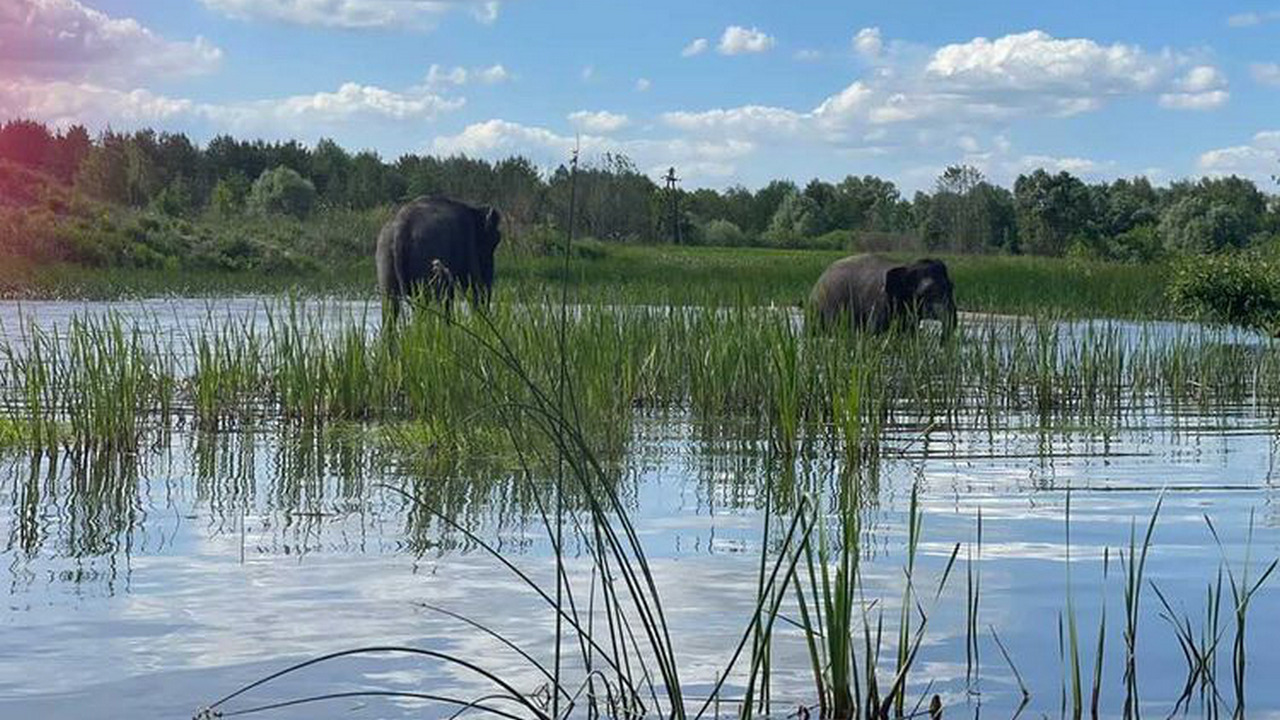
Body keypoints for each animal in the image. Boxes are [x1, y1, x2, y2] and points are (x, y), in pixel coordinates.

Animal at [803, 253, 957, 335]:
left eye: (951, 287)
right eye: (927, 291)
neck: (907, 265)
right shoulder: (879, 303)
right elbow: (875, 332)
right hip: (817, 311)